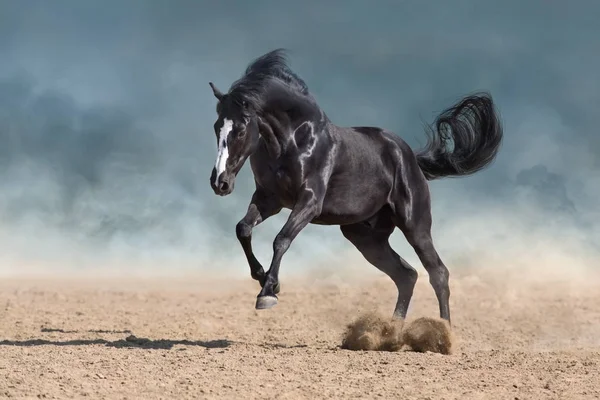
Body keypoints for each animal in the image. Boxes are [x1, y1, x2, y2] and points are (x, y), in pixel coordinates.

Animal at [207, 50, 502, 324]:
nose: (219, 182)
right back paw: (393, 332)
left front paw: (268, 292)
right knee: (406, 275)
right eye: (217, 126)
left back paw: (443, 332)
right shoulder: (270, 200)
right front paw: (262, 278)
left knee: (438, 273)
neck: (292, 141)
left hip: (414, 226)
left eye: (241, 129)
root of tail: (410, 158)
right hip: (365, 237)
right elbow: (243, 229)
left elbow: (281, 239)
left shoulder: (309, 202)